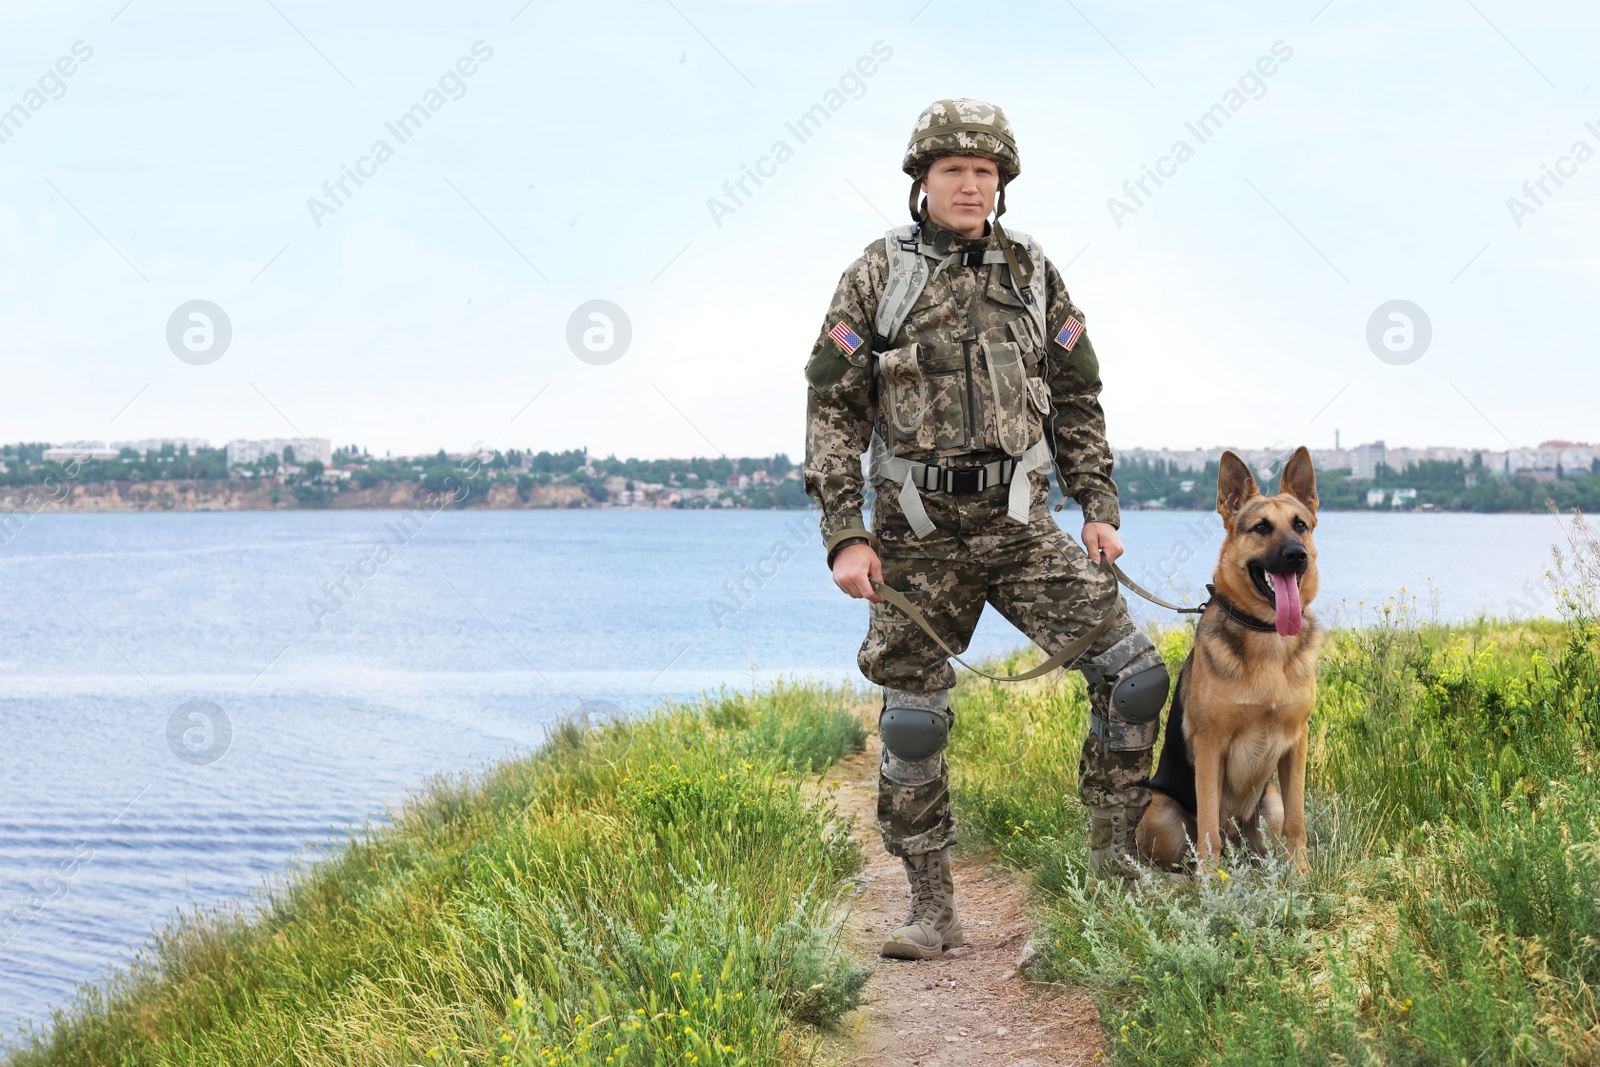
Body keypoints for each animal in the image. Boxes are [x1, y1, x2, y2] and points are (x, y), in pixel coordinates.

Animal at [1139, 447, 1324, 870]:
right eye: (1260, 528)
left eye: (1300, 525)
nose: (1296, 555)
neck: (1267, 637)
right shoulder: (1211, 747)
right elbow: (1208, 831)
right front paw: (1212, 884)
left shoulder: (1297, 744)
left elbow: (1297, 824)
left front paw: (1302, 875)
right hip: (1161, 813)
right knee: (1181, 852)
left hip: (1268, 805)